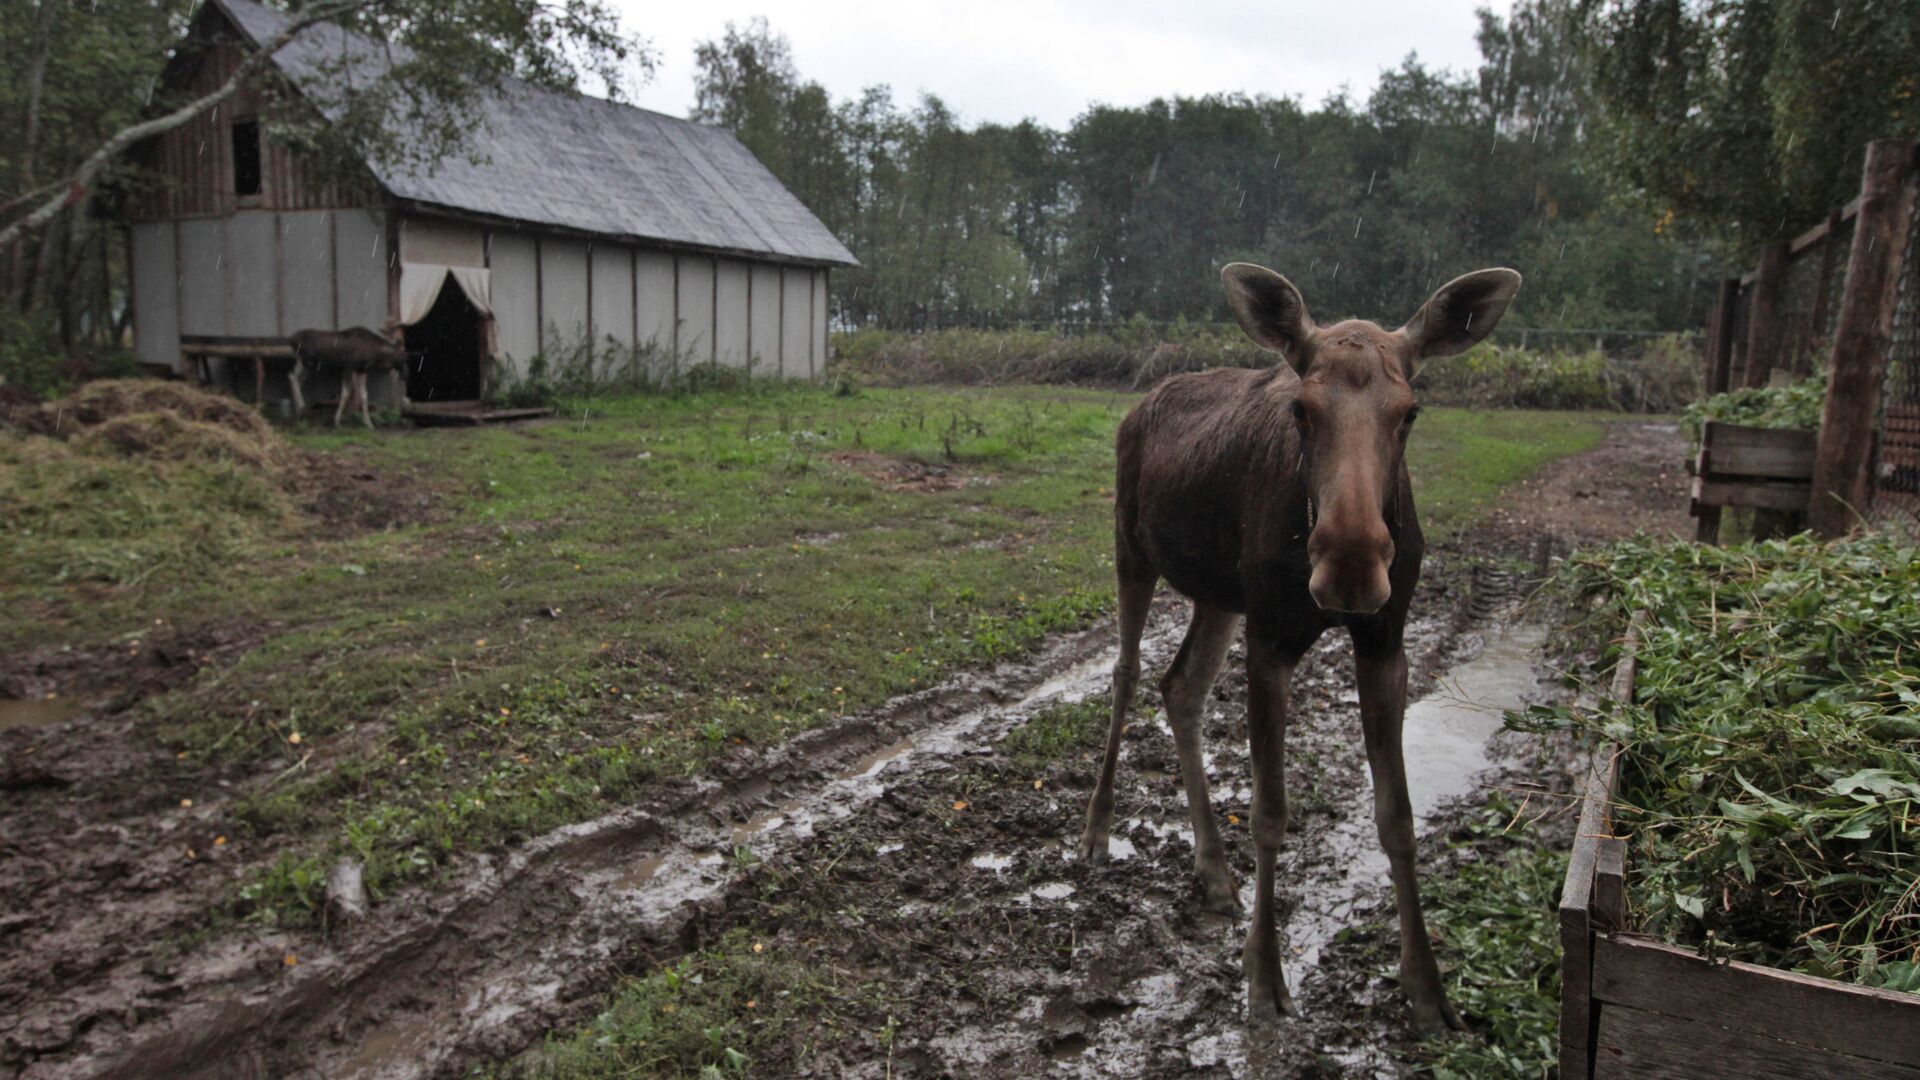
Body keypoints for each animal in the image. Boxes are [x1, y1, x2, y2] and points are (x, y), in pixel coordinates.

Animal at [1082, 261, 1528, 1022]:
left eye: (1410, 411)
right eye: (1300, 410)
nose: (1351, 563)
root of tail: (1139, 405)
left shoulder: (1385, 639)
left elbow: (1397, 813)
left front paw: (1426, 985)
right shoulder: (1271, 637)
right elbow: (1269, 811)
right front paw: (1264, 975)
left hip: (1219, 593)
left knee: (1182, 686)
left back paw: (1213, 870)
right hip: (1130, 548)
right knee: (1127, 673)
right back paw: (1098, 829)